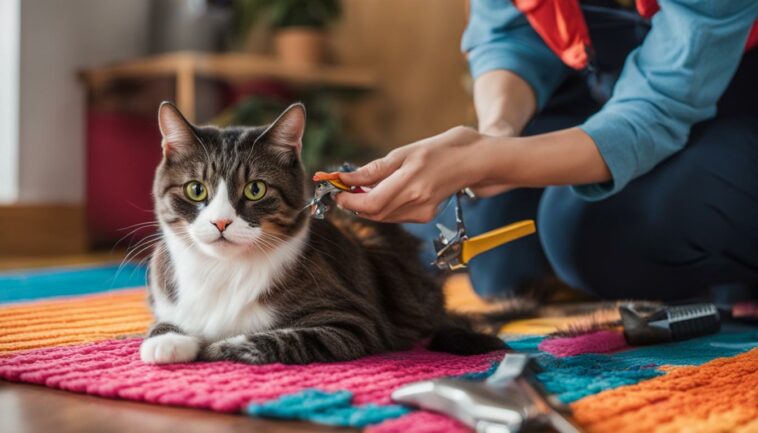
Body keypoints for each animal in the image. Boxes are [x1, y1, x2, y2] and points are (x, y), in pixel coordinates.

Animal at [140, 102, 508, 364]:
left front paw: (214, 347)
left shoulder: (353, 323)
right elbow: (167, 320)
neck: (223, 269)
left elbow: (279, 338)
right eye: (196, 190)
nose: (220, 223)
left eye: (255, 189)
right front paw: (164, 341)